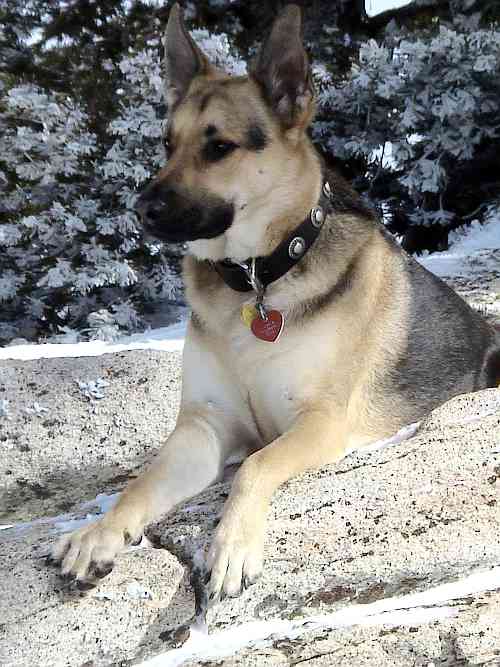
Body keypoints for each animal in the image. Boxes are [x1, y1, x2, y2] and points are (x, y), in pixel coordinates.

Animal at [50, 3, 500, 600]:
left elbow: (255, 465)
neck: (255, 281)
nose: (141, 209)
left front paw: (232, 546)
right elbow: (142, 482)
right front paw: (98, 533)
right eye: (167, 144)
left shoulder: (320, 421)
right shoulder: (203, 428)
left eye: (220, 146)